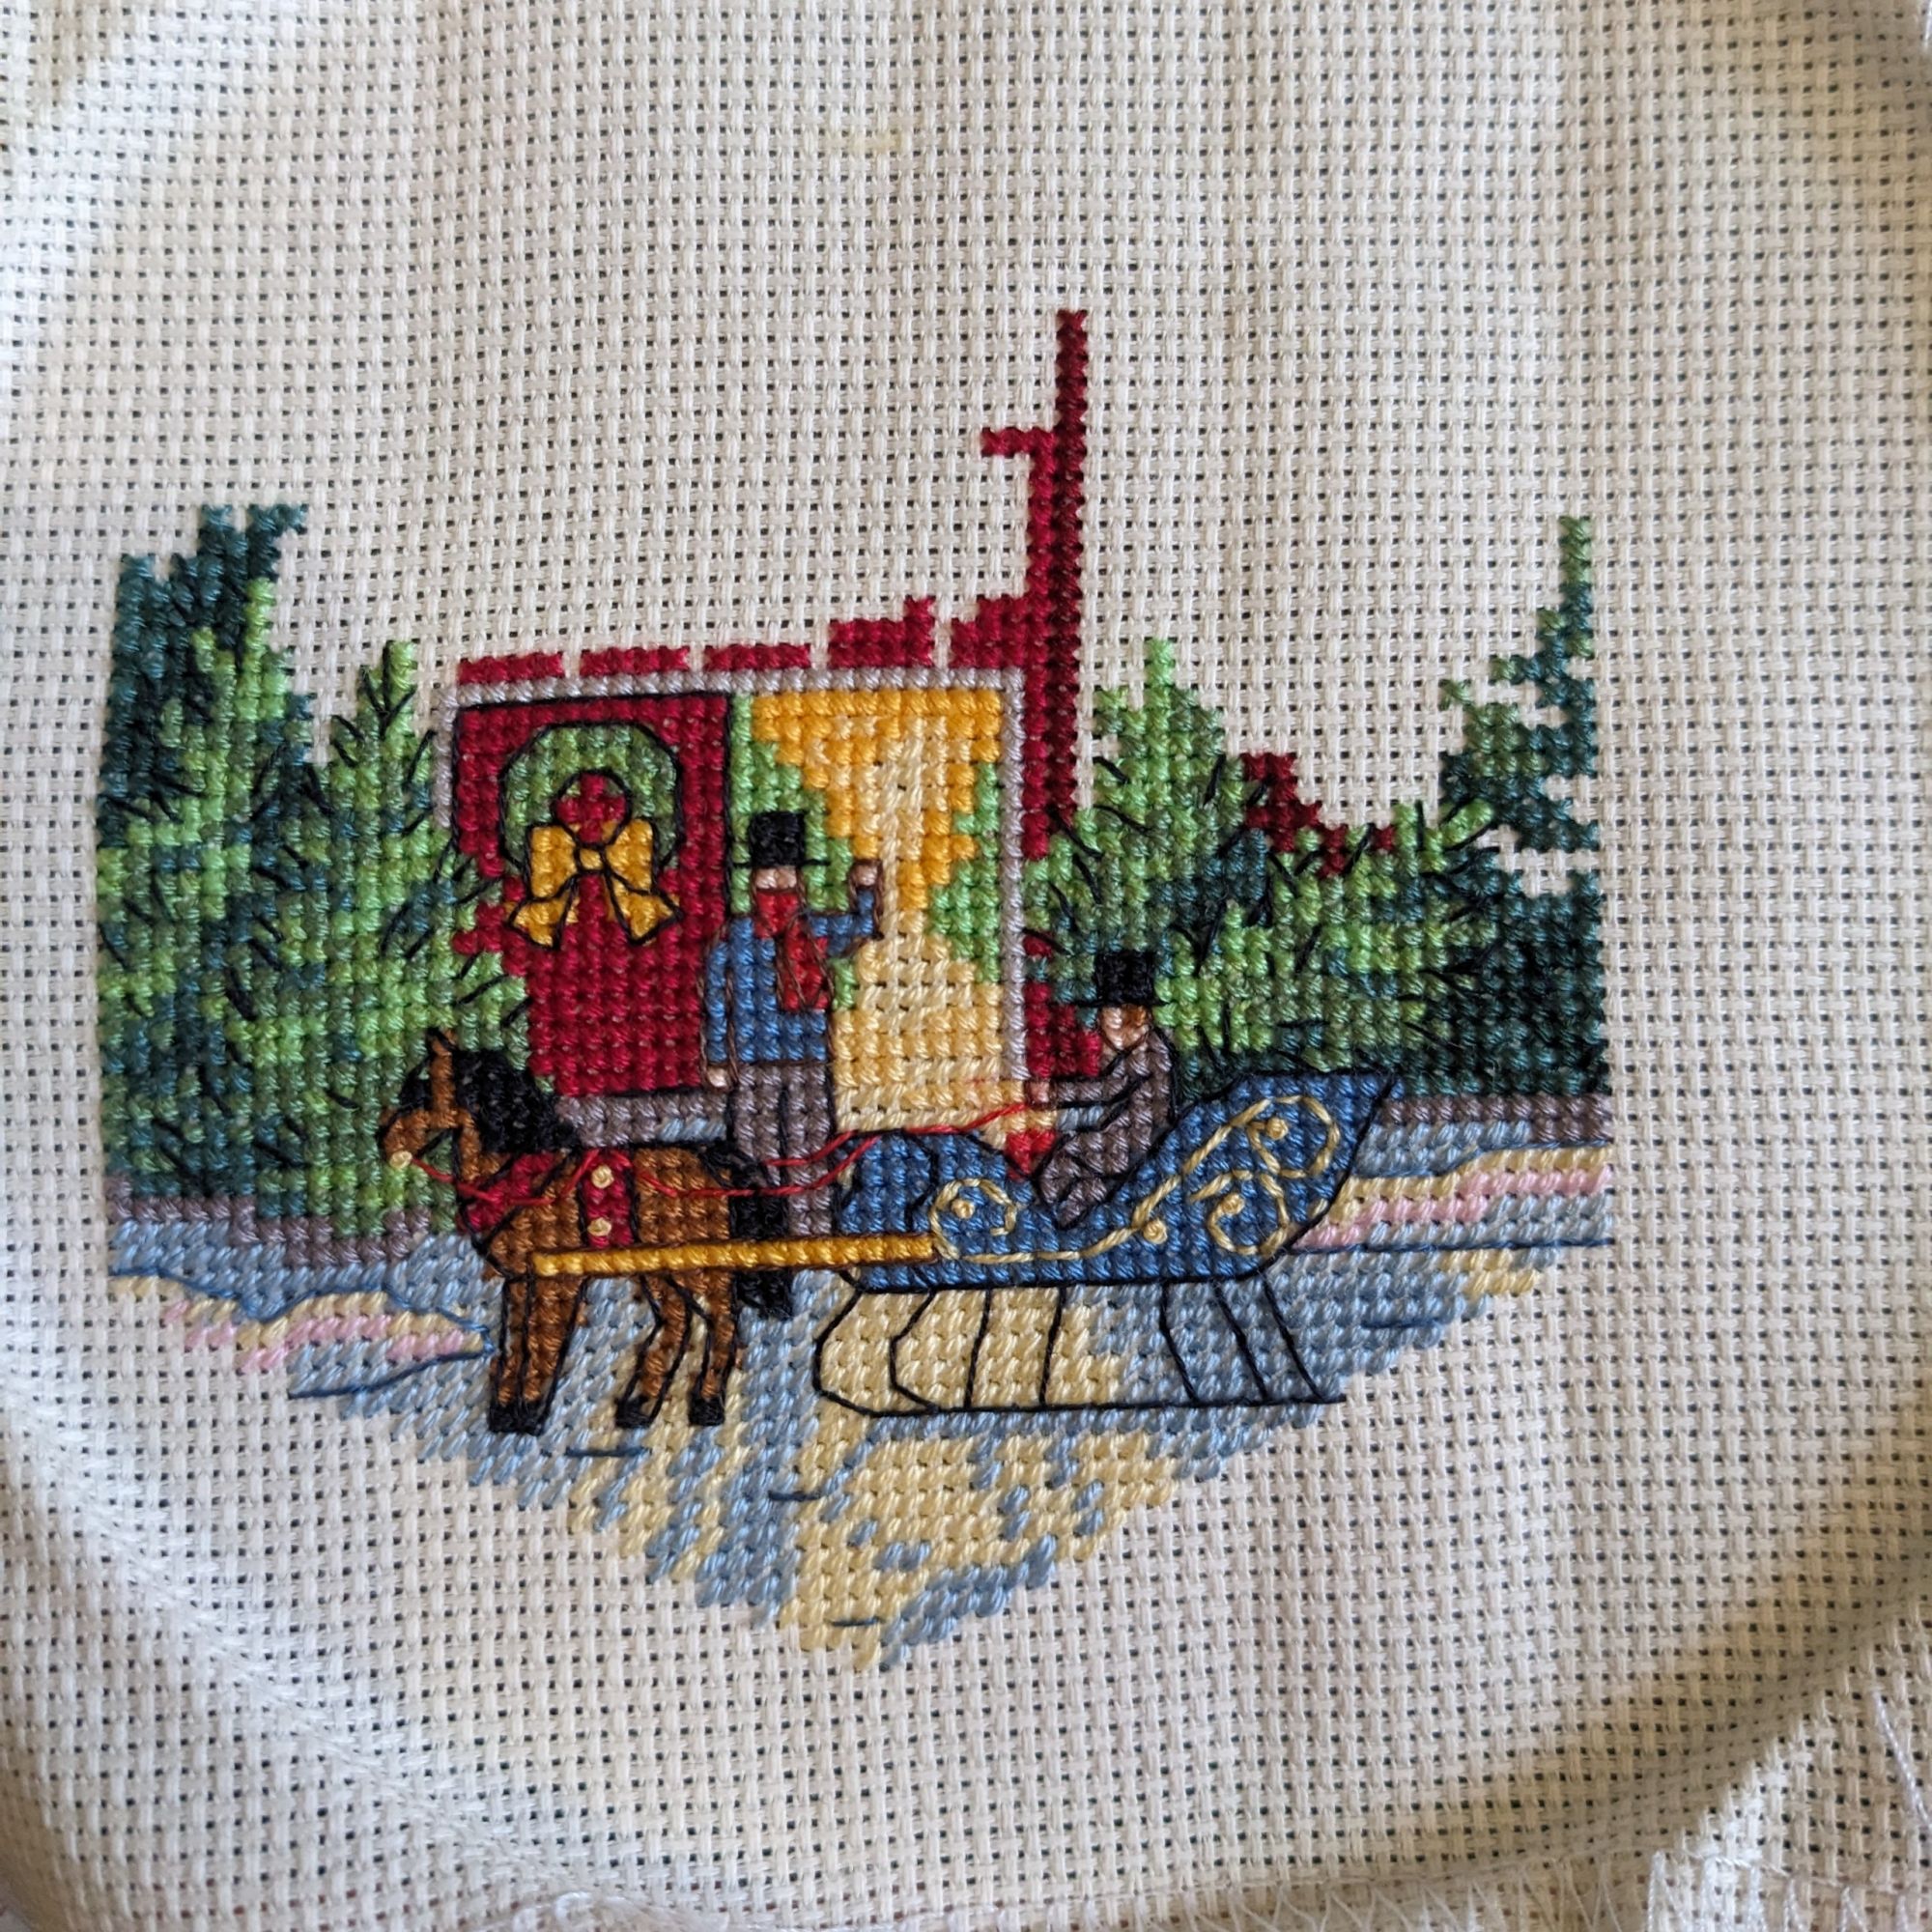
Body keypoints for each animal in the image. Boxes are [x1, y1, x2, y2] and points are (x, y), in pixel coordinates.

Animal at [377, 1032, 789, 1436]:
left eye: (421, 1095)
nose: (383, 1141)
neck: (524, 1176)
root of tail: (712, 1156)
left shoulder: (555, 1280)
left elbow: (541, 1345)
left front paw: (529, 1413)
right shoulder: (518, 1282)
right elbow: (513, 1345)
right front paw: (505, 1413)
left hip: (703, 1266)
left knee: (724, 1322)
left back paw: (705, 1405)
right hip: (660, 1267)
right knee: (678, 1320)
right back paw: (638, 1407)